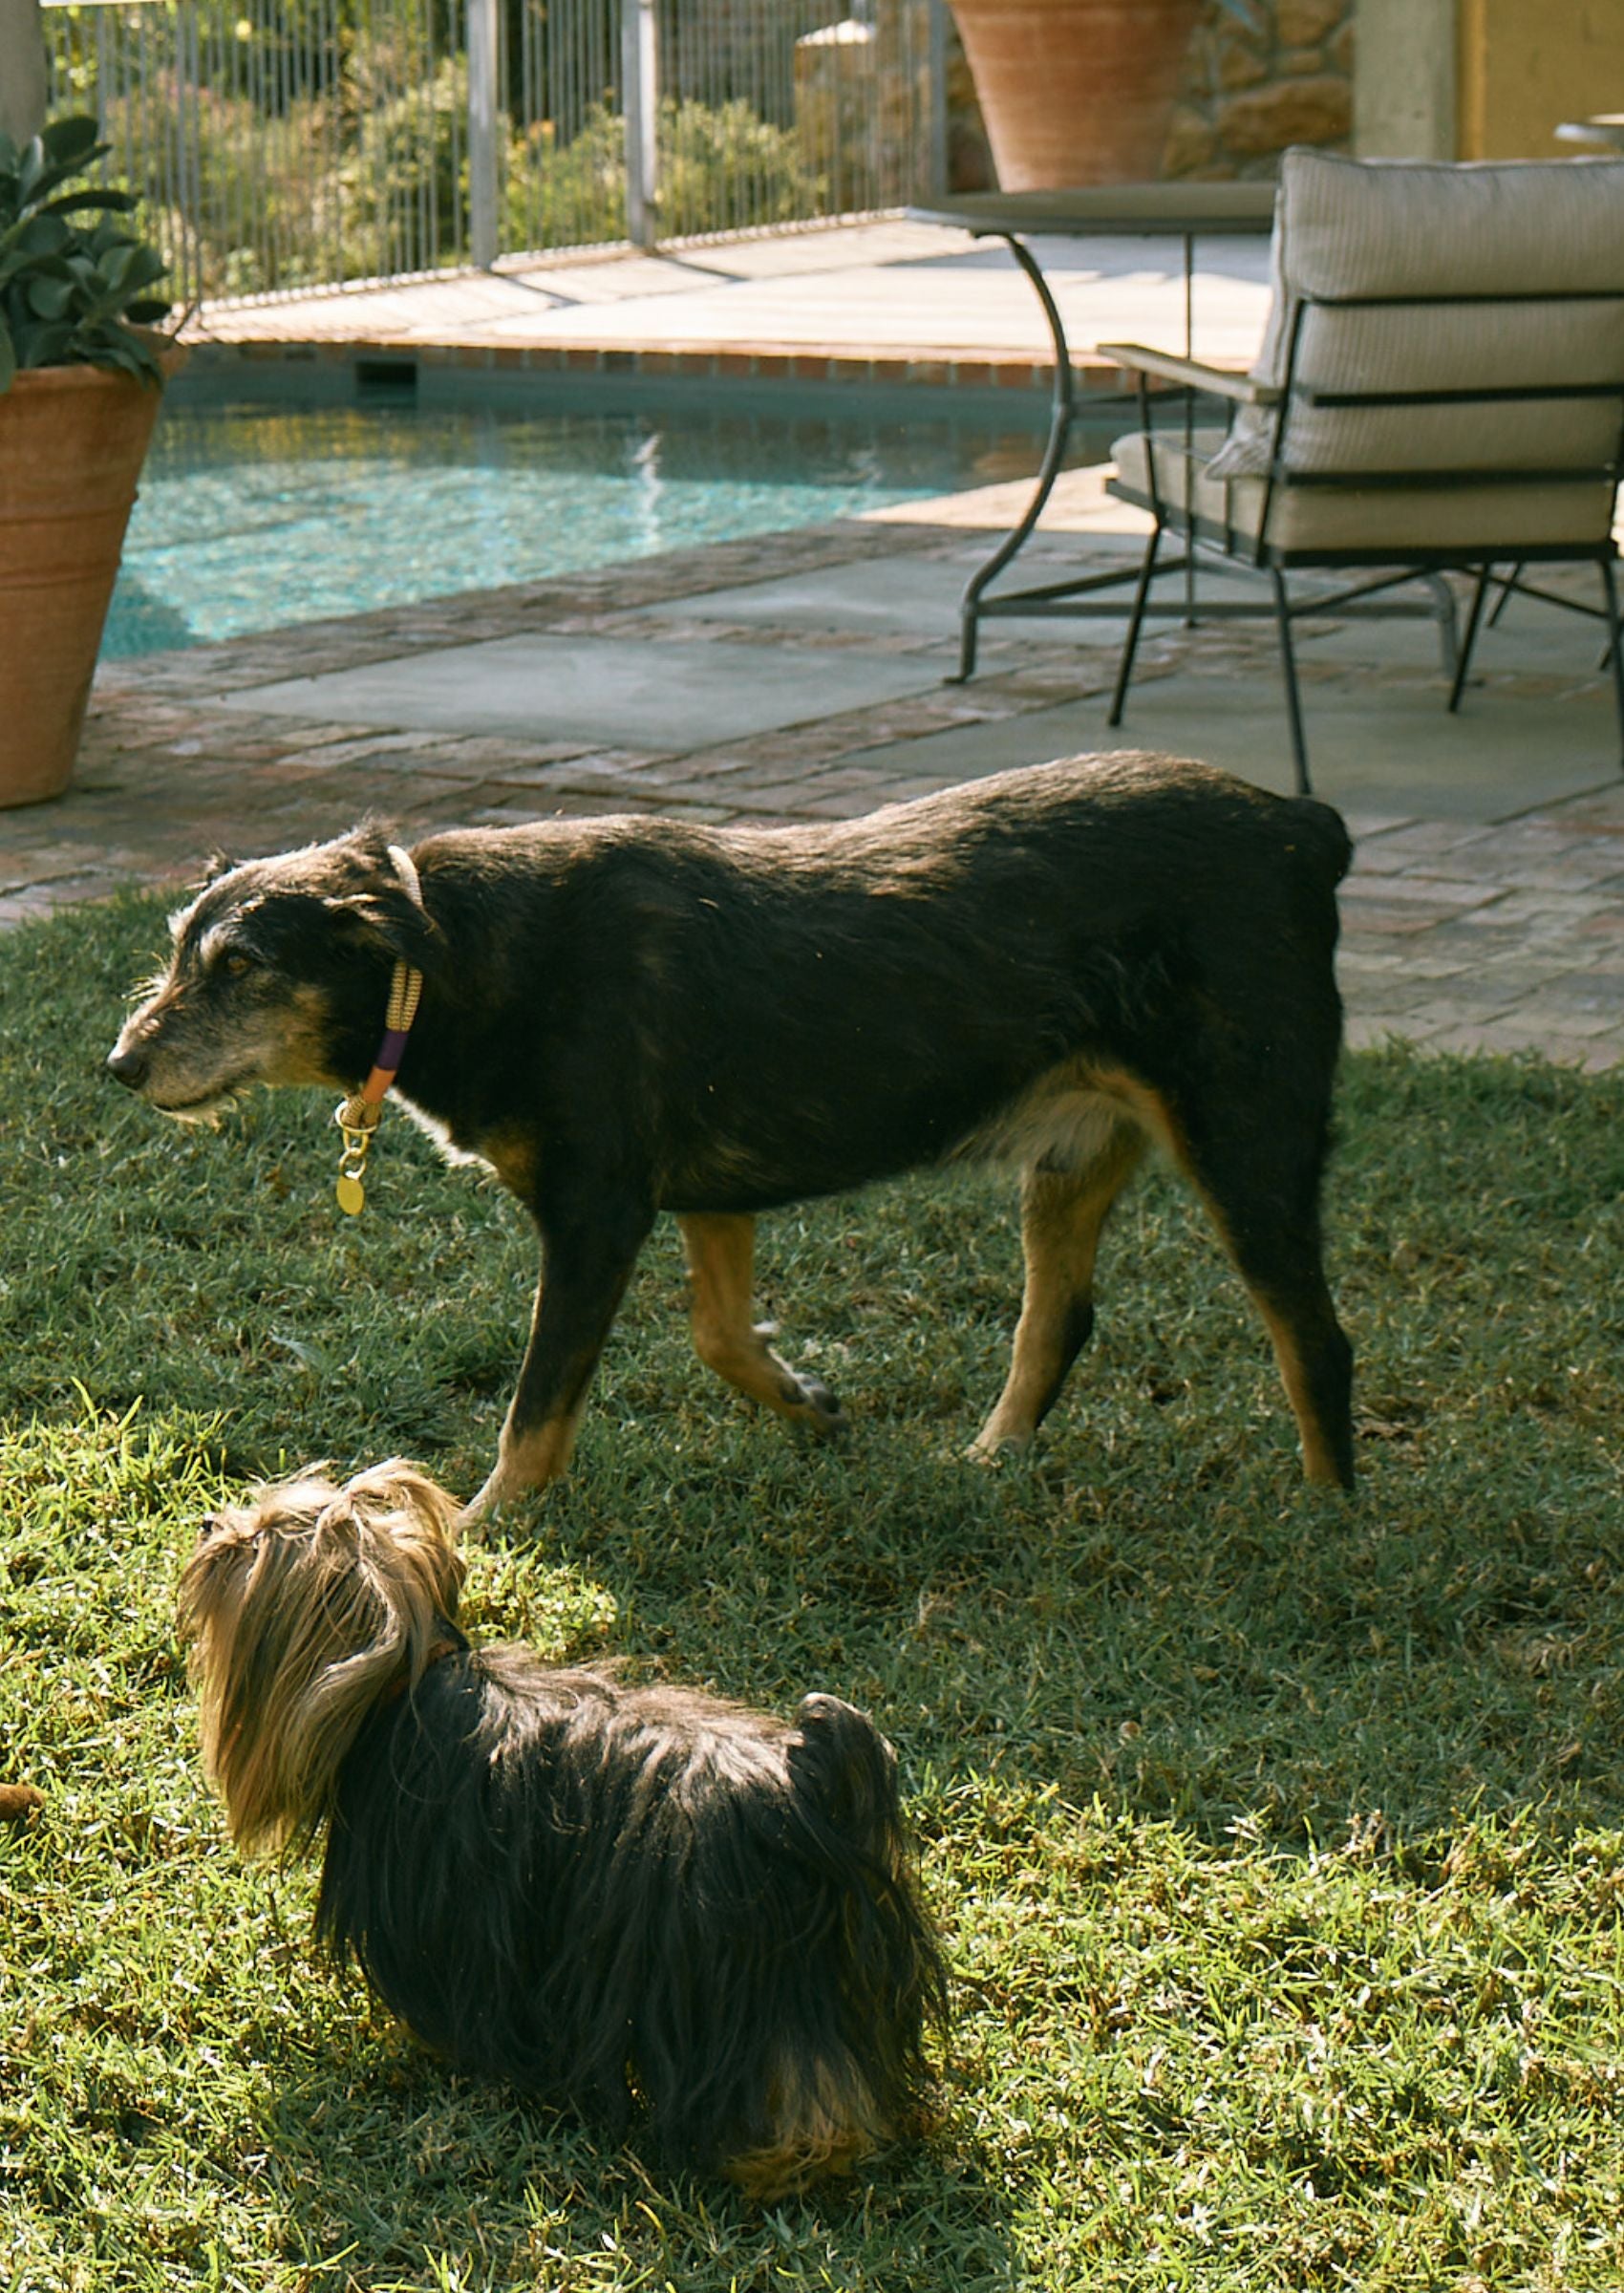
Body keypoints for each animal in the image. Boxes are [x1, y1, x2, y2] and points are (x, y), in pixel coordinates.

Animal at [107, 742, 1357, 1522]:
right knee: (1056, 1320)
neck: (449, 956)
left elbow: (534, 1407)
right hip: (1071, 1151)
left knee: (1313, 1338)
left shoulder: (597, 1210)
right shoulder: (705, 1195)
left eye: (240, 968)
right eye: (176, 950)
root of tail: (1303, 826)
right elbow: (716, 1335)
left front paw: (484, 1525)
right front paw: (806, 1403)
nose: (120, 1066)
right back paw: (989, 1460)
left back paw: (1328, 1516)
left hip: (1246, 1132)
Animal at [179, 1458, 945, 2192]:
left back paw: (786, 2161)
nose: (210, 1524)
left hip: (737, 1968)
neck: (397, 1683)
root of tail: (806, 1777)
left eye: (256, 1540)